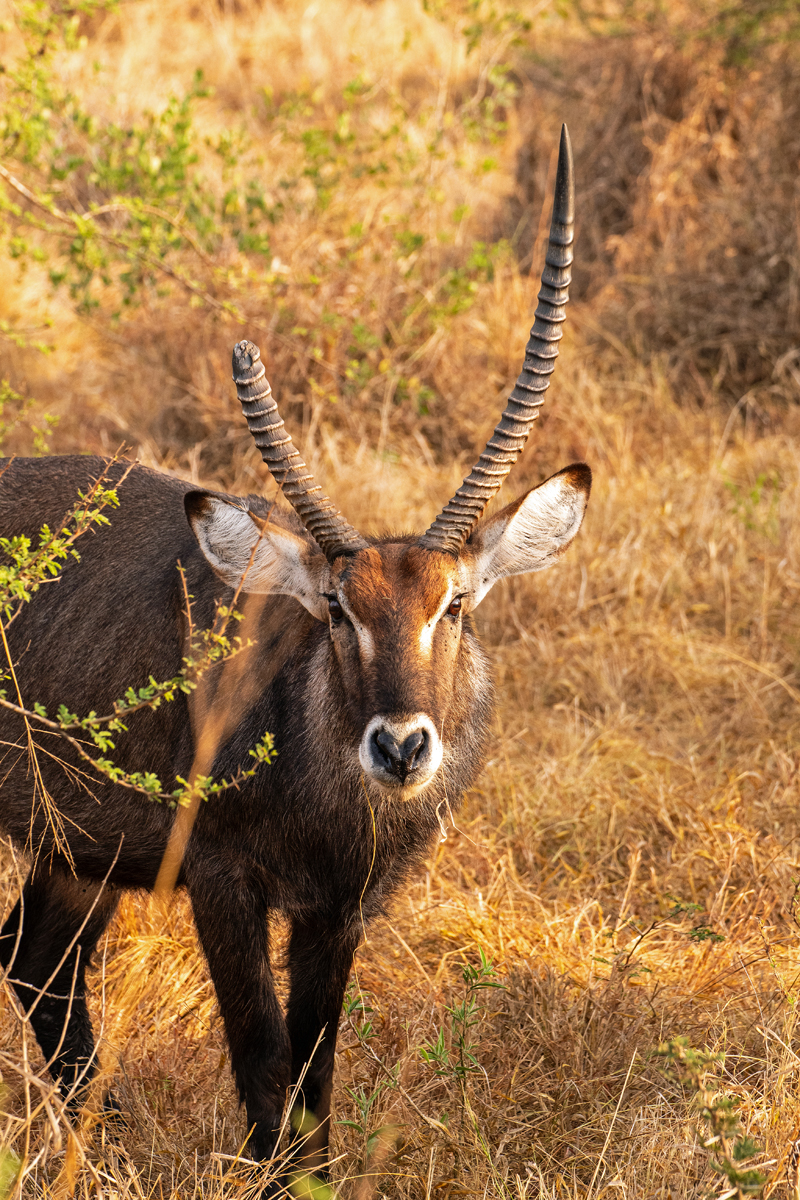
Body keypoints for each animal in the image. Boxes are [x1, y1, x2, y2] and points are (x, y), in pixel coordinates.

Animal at [0, 126, 589, 1185]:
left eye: (455, 604)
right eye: (335, 609)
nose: (401, 747)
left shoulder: (340, 906)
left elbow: (318, 1059)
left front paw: (312, 1180)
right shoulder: (223, 883)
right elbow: (262, 1049)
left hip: (80, 852)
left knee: (34, 962)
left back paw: (107, 1145)